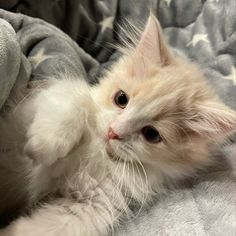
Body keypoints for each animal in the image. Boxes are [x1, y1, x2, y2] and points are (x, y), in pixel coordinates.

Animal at [0, 14, 236, 236]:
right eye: (121, 99)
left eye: (151, 134)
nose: (113, 132)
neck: (98, 151)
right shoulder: (35, 104)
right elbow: (76, 99)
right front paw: (47, 145)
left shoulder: (91, 206)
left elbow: (44, 227)